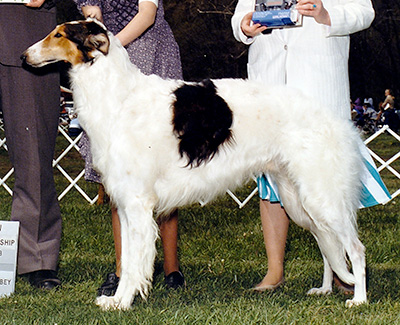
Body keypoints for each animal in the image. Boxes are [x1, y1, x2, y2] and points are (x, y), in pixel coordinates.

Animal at [21, 19, 366, 308]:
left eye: (59, 35)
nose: (25, 56)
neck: (119, 97)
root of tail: (336, 117)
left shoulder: (137, 202)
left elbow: (134, 264)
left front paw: (123, 302)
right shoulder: (126, 202)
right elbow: (129, 258)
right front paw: (116, 299)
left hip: (321, 196)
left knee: (355, 249)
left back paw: (358, 299)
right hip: (300, 201)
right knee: (328, 245)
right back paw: (325, 289)